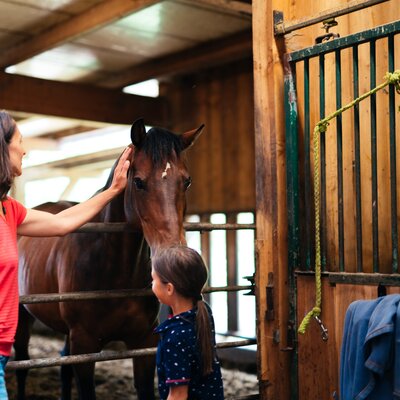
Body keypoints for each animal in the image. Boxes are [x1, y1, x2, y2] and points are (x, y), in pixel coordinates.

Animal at [14, 119, 203, 400]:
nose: (172, 255)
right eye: (138, 182)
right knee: (22, 364)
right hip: (23, 318)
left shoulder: (144, 343)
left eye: (187, 181)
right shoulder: (84, 347)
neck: (112, 270)